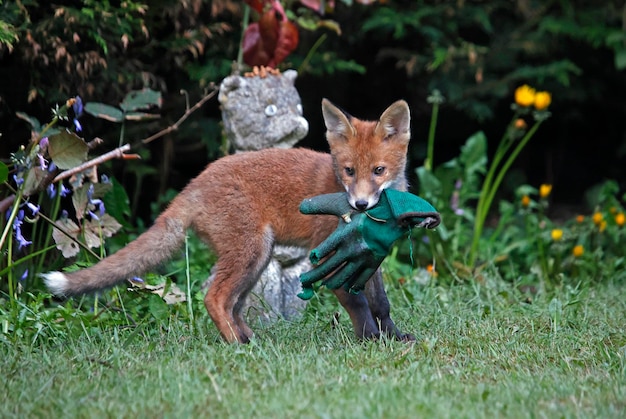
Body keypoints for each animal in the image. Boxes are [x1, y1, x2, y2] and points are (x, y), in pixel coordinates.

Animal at [45, 99, 414, 344]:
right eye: (349, 171)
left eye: (378, 170)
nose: (360, 204)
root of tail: (194, 183)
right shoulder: (330, 256)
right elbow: (357, 303)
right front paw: (369, 341)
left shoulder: (368, 257)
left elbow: (381, 304)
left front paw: (395, 338)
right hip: (251, 252)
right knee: (214, 297)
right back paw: (236, 345)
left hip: (257, 259)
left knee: (232, 304)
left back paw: (249, 340)